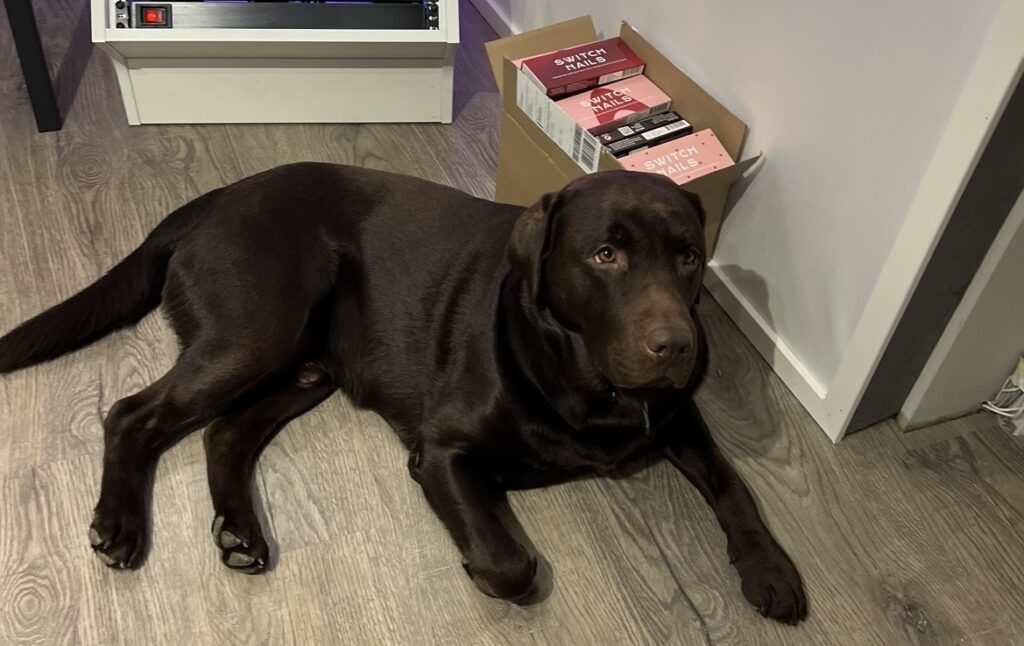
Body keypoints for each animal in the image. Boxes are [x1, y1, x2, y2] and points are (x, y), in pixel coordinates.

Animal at [0, 163, 806, 624]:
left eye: (689, 257)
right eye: (605, 254)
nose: (678, 346)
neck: (587, 382)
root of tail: (218, 196)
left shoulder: (678, 414)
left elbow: (735, 485)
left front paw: (772, 569)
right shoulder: (442, 453)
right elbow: (511, 564)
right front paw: (485, 568)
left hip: (306, 368)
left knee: (223, 433)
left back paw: (242, 532)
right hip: (255, 331)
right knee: (130, 413)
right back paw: (119, 525)